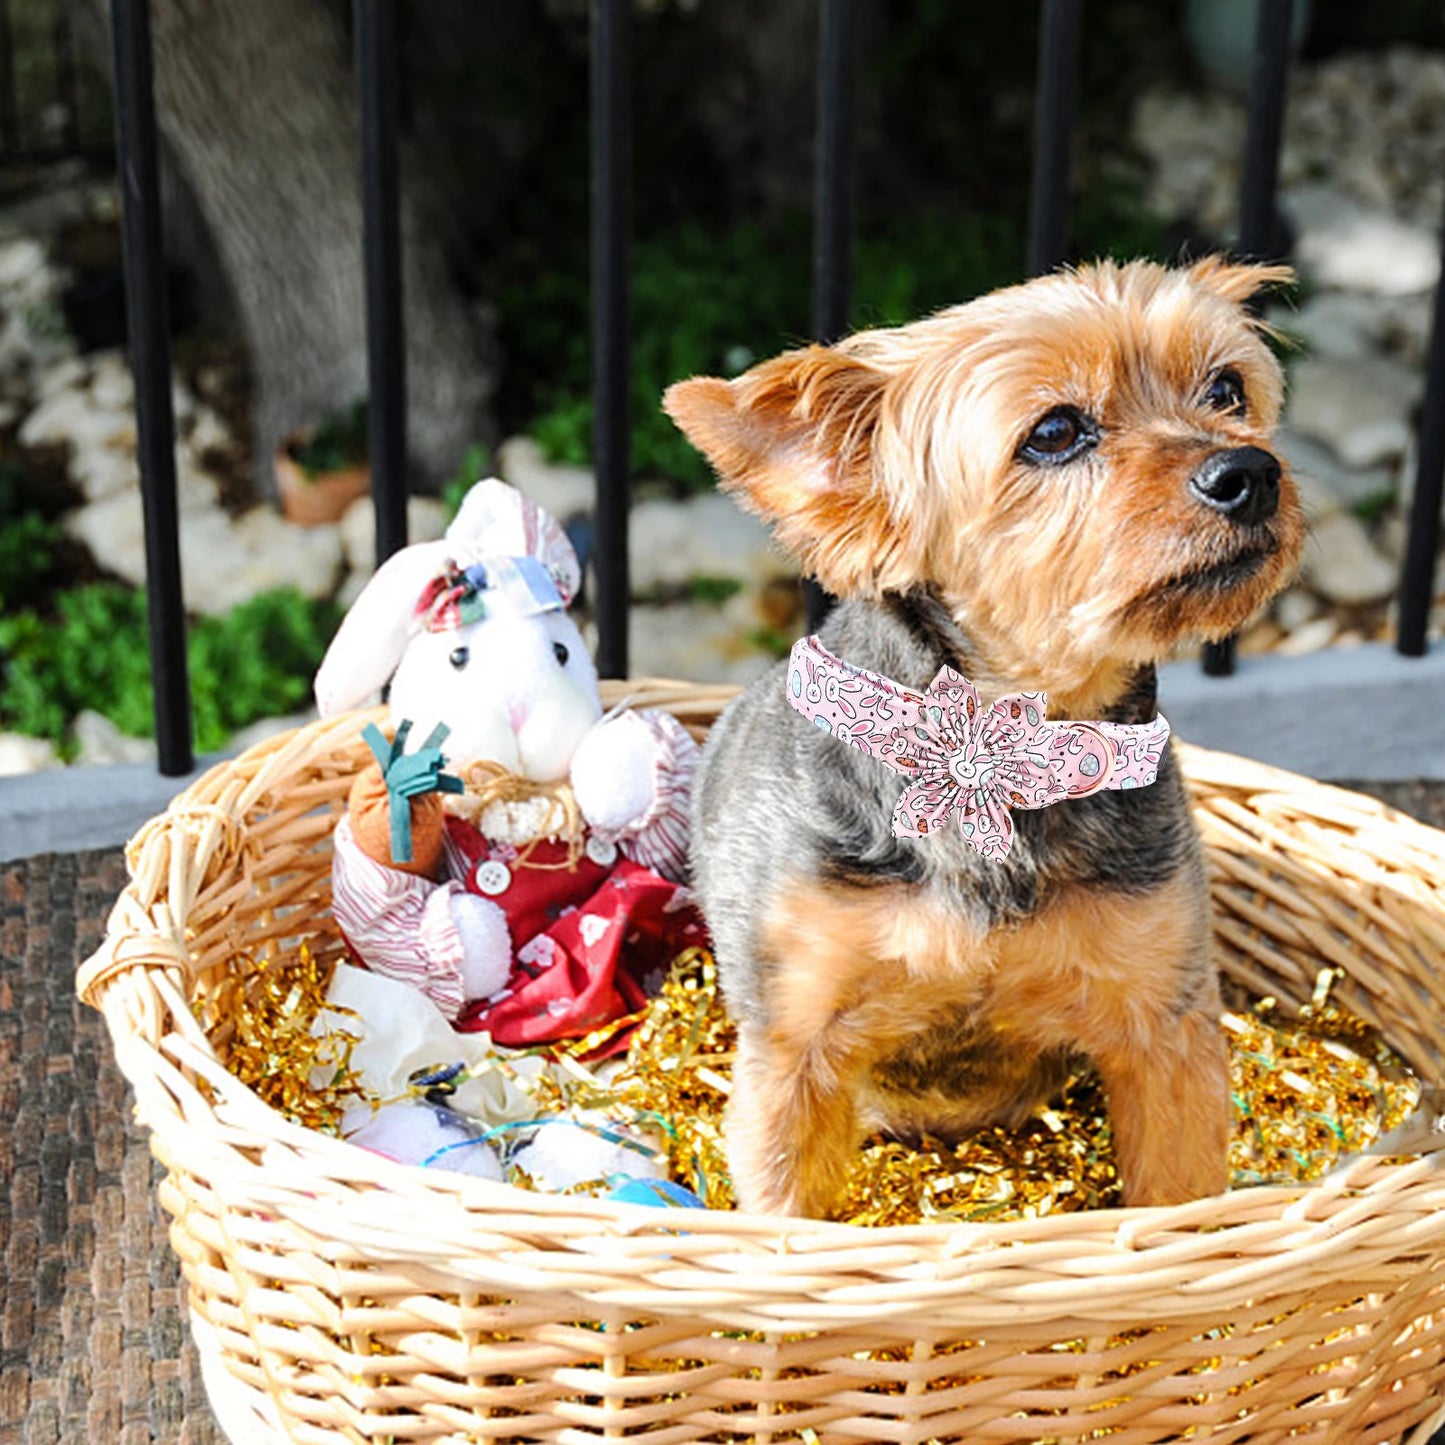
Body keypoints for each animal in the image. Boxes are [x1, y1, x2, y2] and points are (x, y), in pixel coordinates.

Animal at [664, 260, 1312, 1219]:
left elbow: (1176, 1196)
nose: (1251, 470)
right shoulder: (794, 1046)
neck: (1008, 760)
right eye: (1054, 431)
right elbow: (787, 1206)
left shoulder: (1165, 1025)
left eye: (1226, 390)